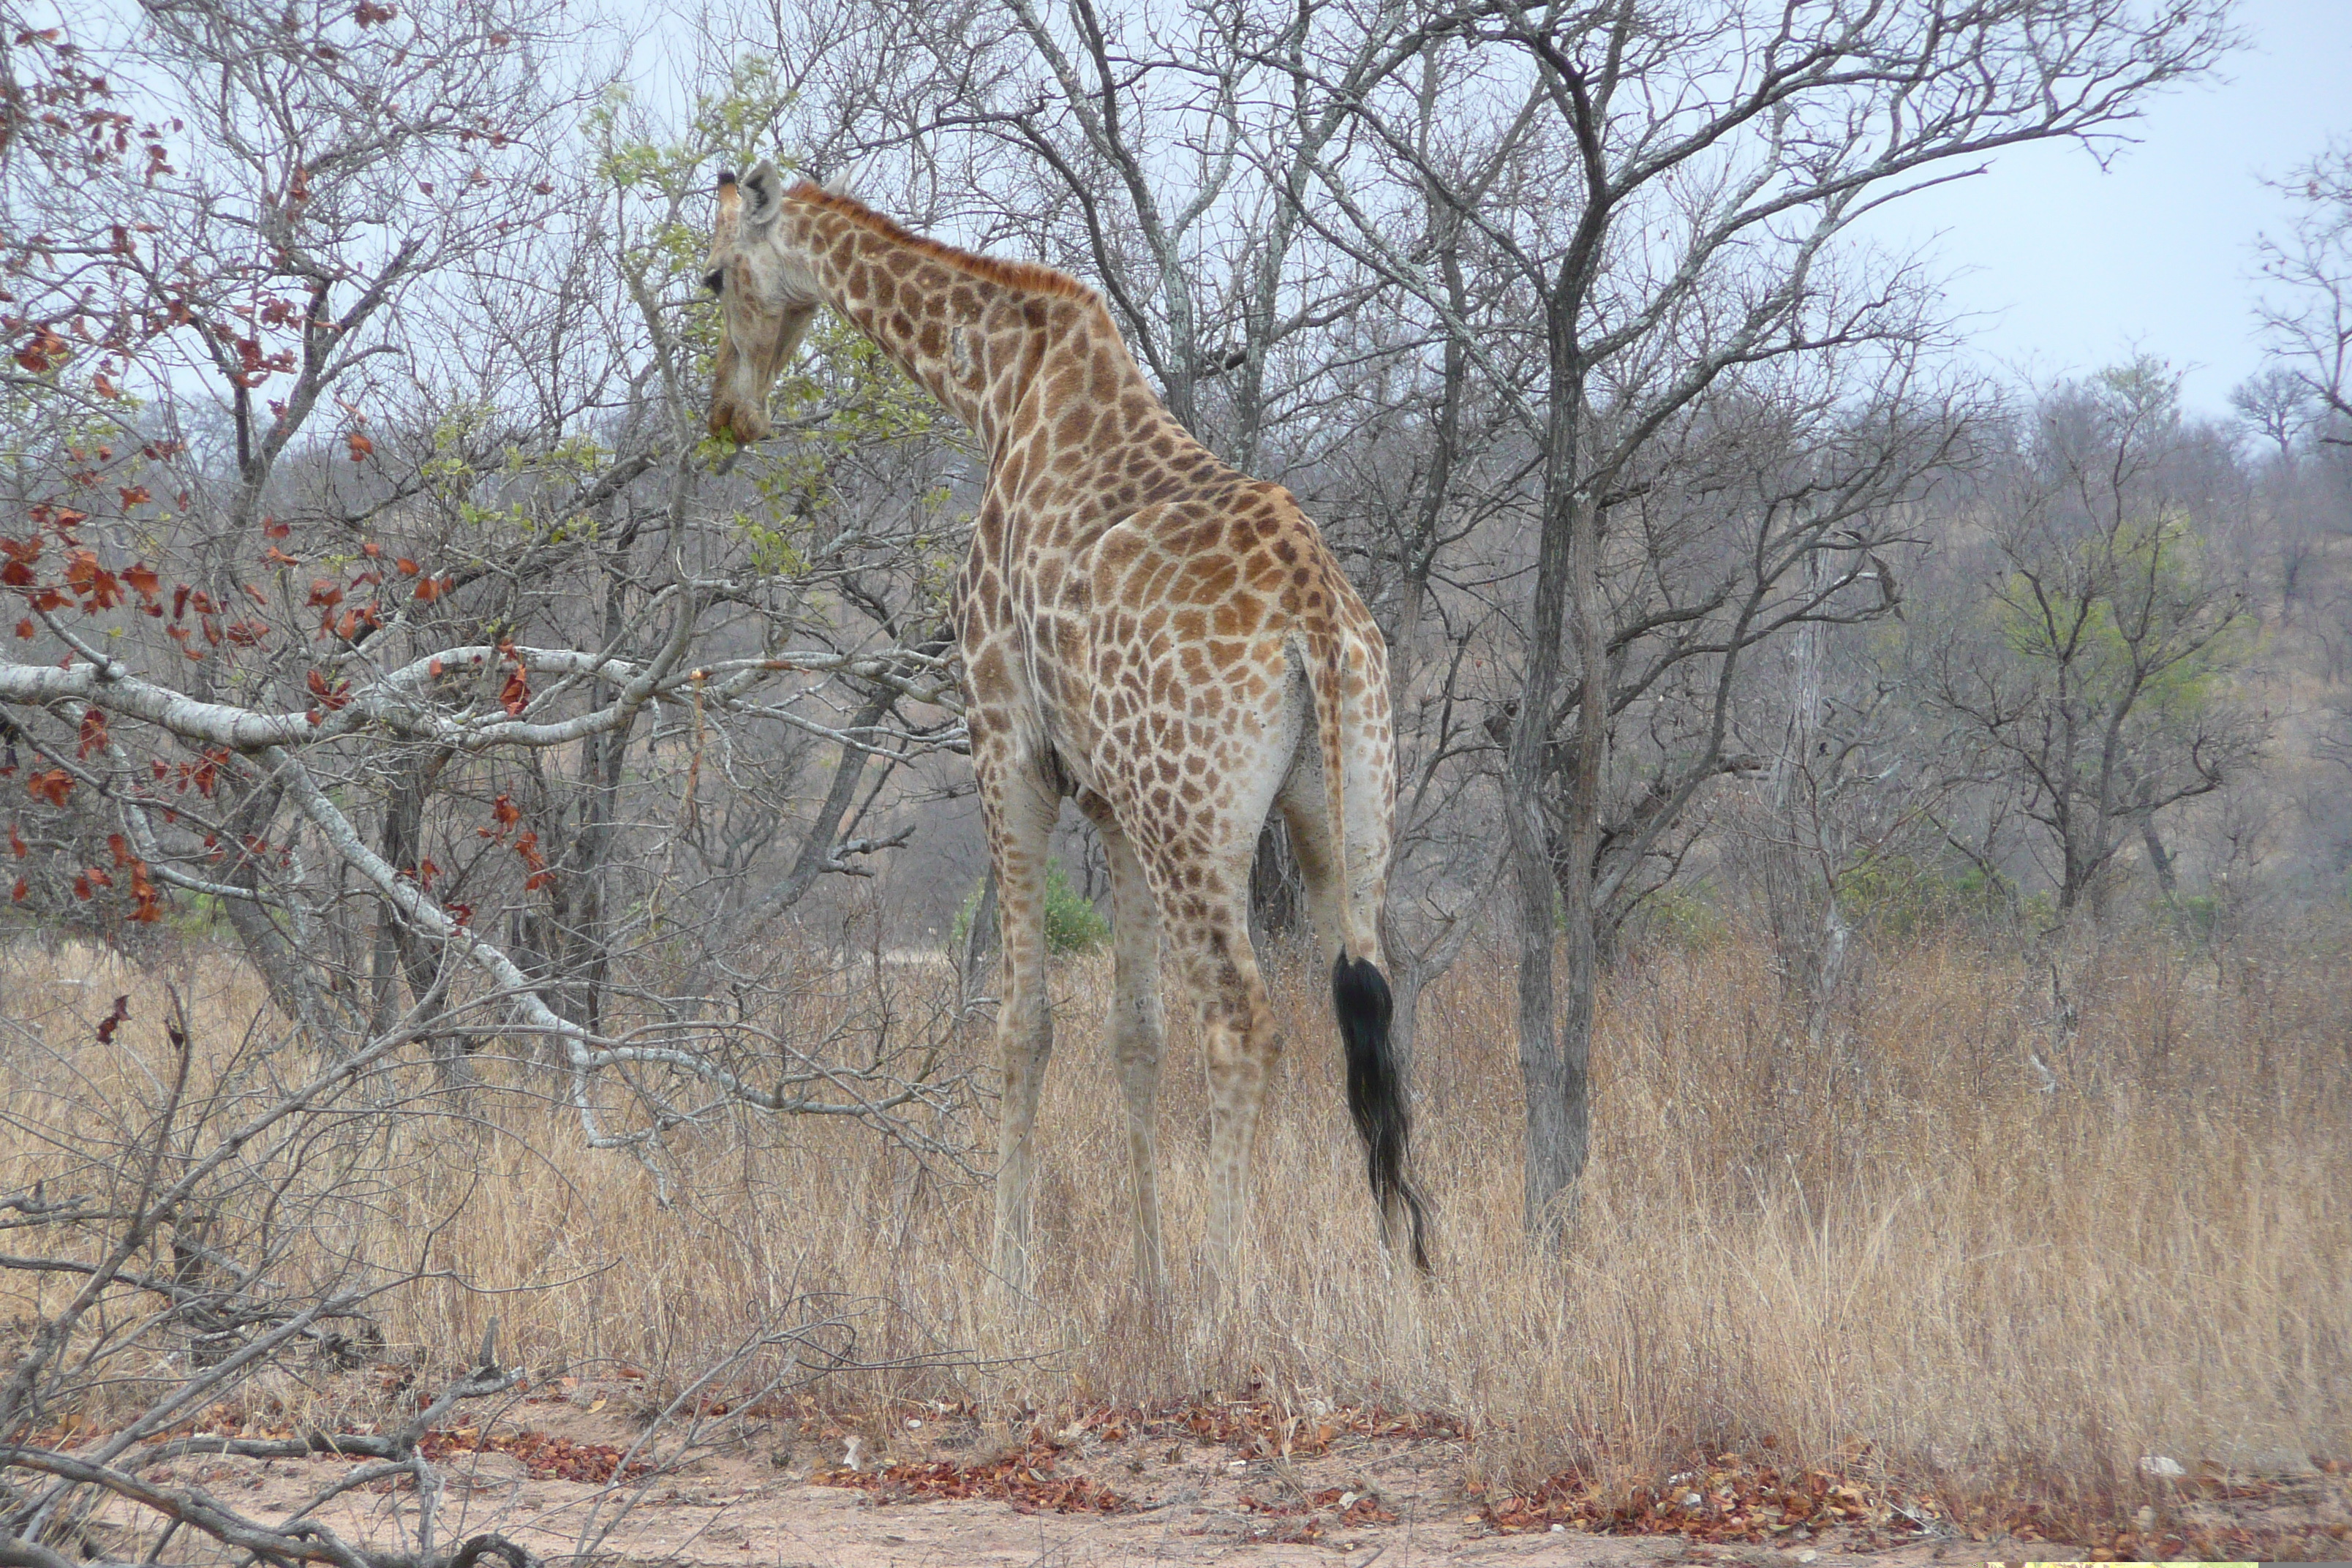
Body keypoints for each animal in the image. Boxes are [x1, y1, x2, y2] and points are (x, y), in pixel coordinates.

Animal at [705, 159, 1420, 1297]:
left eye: (713, 275)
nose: (729, 413)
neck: (997, 385)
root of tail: (1316, 618)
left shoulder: (1007, 744)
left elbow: (1023, 1023)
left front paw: (1008, 1284)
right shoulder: (1112, 801)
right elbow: (1134, 1034)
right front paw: (1150, 1281)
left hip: (1196, 822)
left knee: (1244, 1023)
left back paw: (1228, 1298)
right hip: (1345, 814)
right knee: (1373, 1019)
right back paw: (1400, 1298)